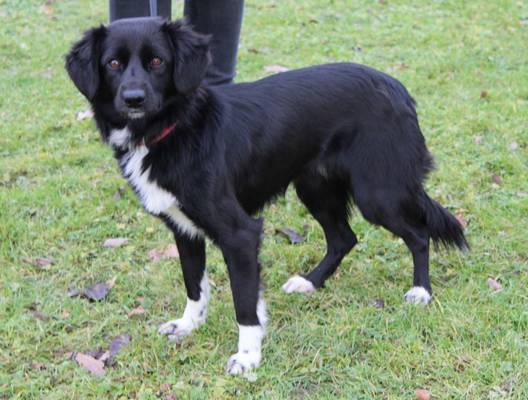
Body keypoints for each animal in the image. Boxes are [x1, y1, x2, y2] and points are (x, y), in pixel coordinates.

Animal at [65, 17, 467, 374]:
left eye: (157, 62)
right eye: (113, 64)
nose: (133, 98)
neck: (172, 128)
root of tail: (397, 87)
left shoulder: (240, 234)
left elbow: (244, 303)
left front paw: (247, 357)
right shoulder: (184, 229)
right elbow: (194, 285)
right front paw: (189, 325)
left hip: (378, 193)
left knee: (418, 234)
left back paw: (421, 291)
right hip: (315, 187)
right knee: (344, 238)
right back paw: (310, 282)